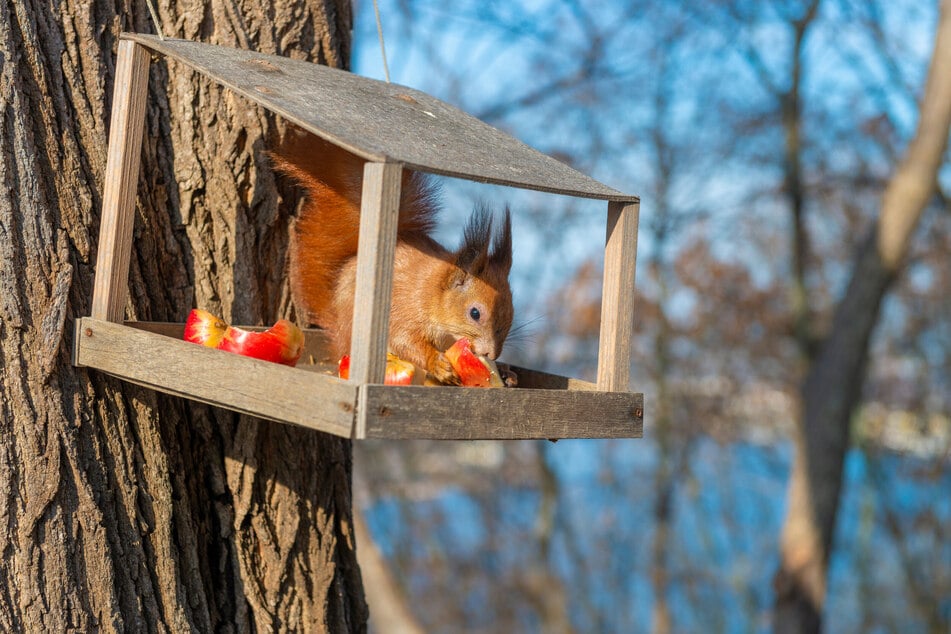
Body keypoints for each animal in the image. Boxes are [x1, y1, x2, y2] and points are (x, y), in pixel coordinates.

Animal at [272, 130, 512, 386]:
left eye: (511, 316)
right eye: (475, 313)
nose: (490, 354)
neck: (433, 294)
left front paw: (506, 372)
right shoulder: (407, 307)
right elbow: (403, 339)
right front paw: (437, 363)